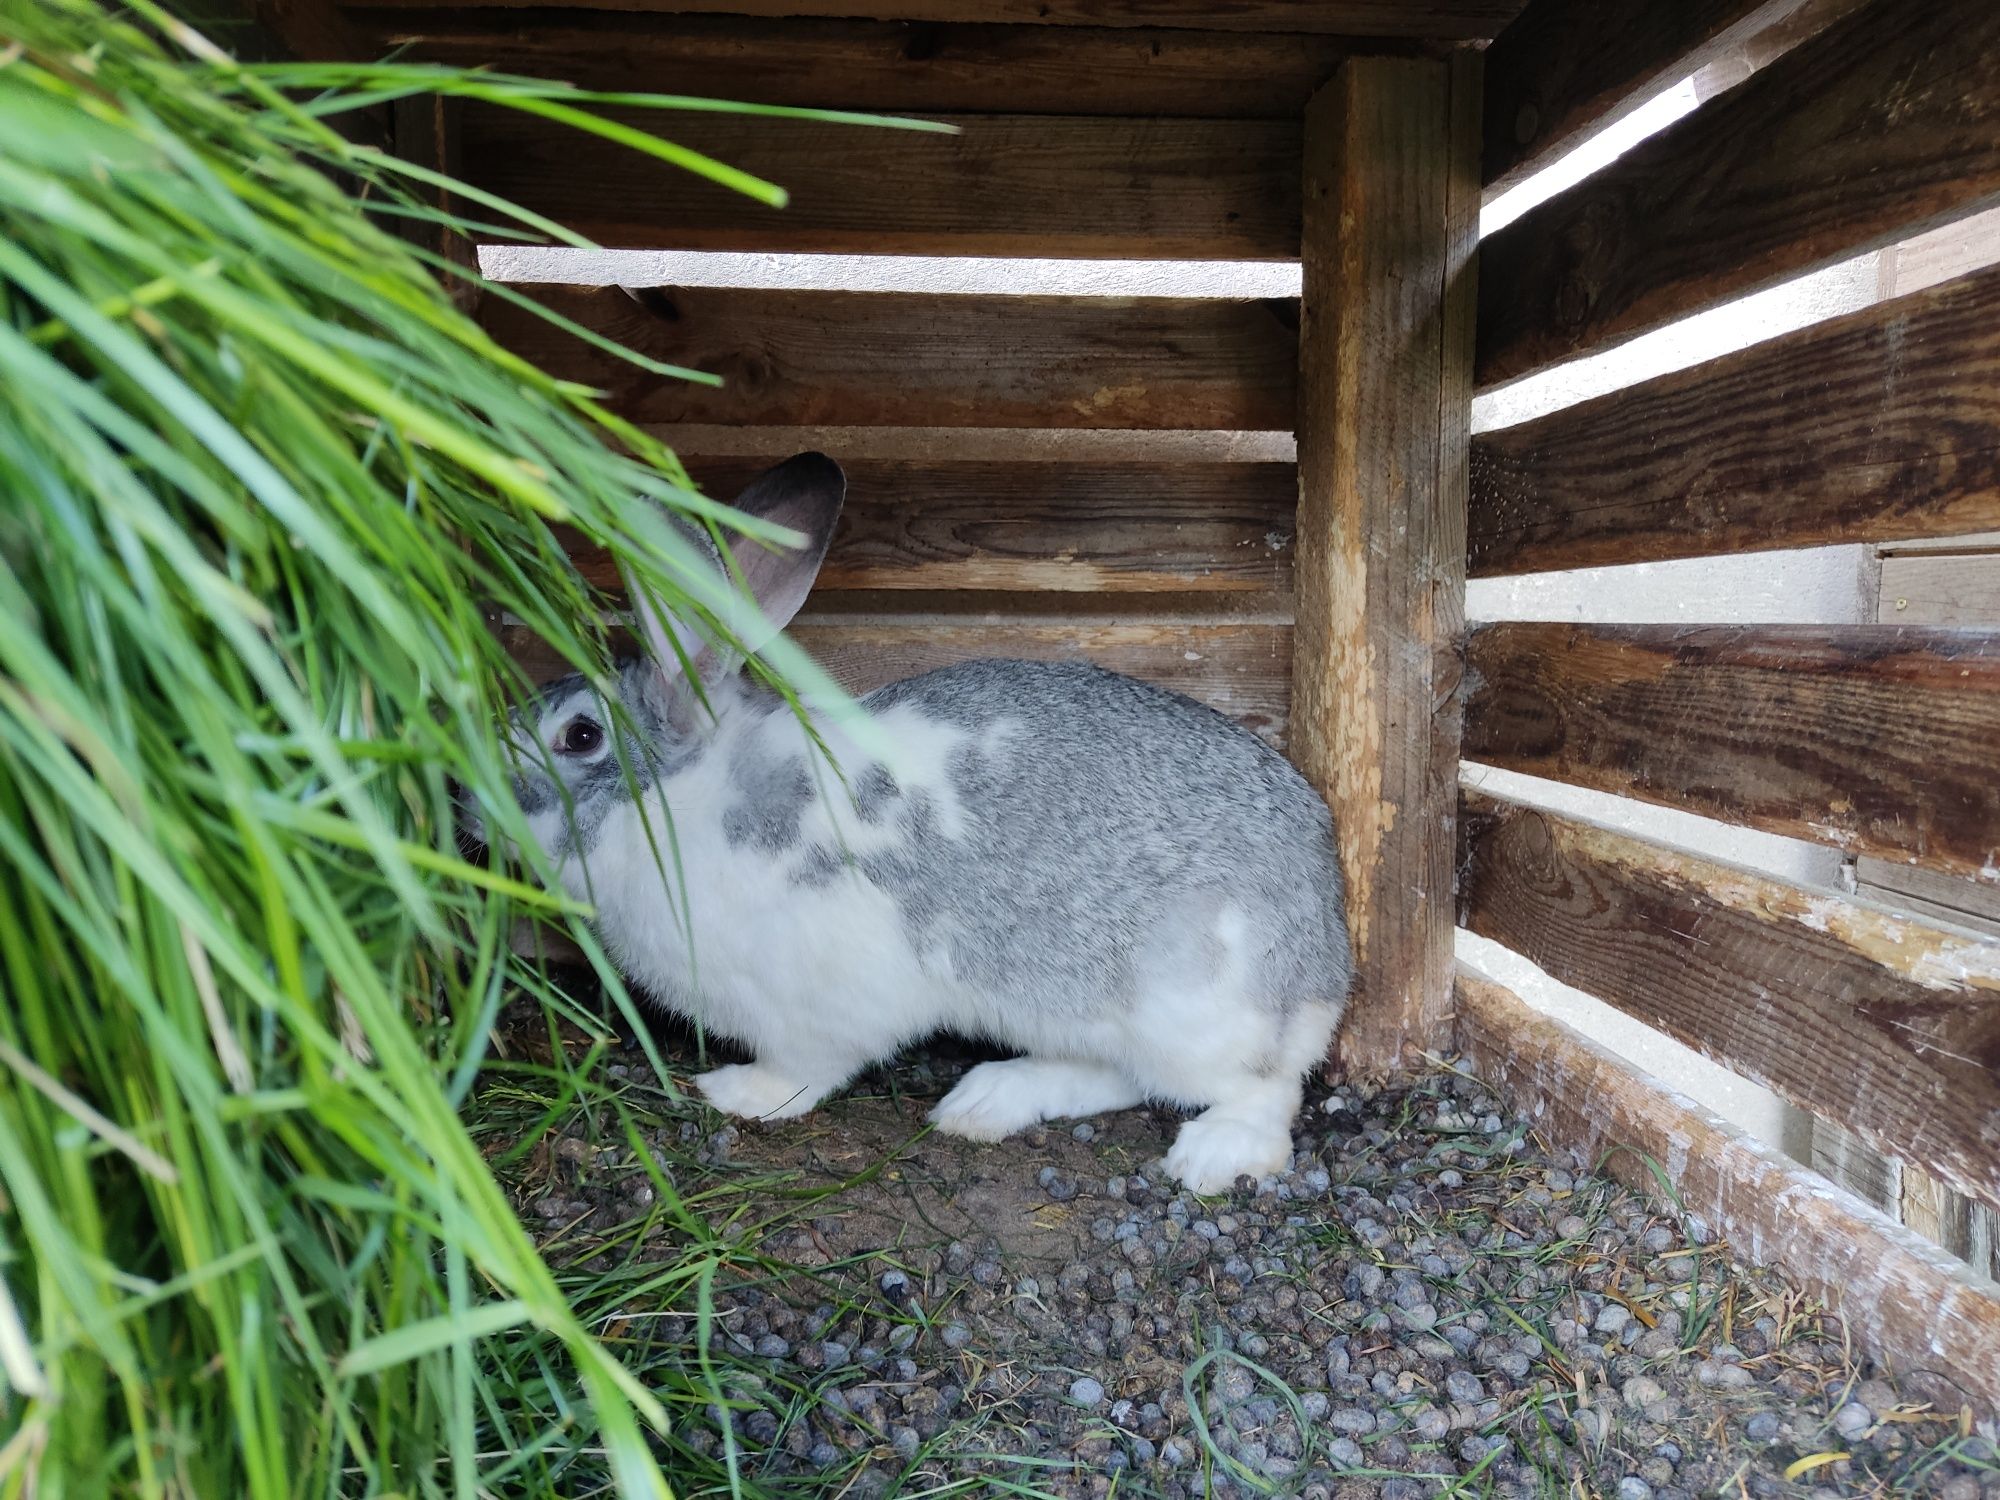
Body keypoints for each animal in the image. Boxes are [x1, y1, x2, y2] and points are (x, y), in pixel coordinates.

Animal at [486, 452, 1352, 1192]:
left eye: (580, 736)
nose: (473, 800)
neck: (689, 794)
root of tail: (1325, 955)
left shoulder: (815, 1008)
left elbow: (803, 1070)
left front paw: (736, 1093)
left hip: (1188, 1012)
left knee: (1264, 1095)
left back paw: (1210, 1156)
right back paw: (987, 1101)